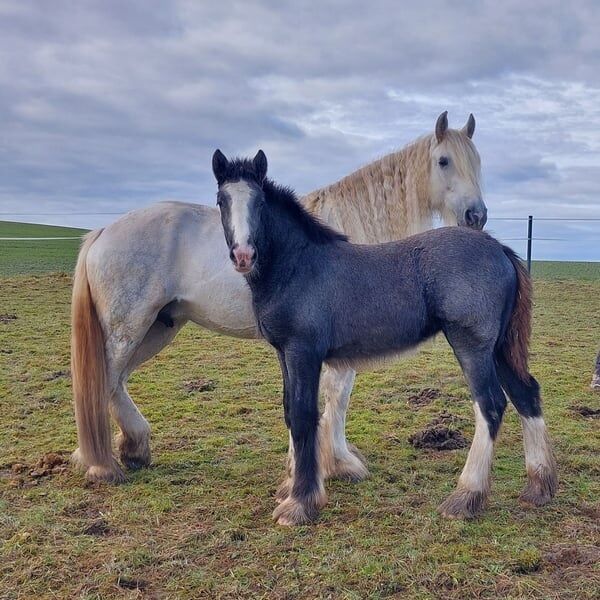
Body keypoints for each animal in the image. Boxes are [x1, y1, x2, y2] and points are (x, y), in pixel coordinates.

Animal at [72, 113, 486, 488]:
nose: (476, 216)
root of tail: (103, 231)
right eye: (444, 161)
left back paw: (128, 449)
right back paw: (103, 464)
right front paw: (336, 463)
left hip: (157, 328)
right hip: (128, 328)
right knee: (103, 380)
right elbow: (337, 395)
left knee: (114, 382)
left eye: (477, 161)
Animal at [211, 149, 556, 524]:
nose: (243, 255)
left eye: (259, 202)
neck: (298, 266)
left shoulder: (303, 351)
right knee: (526, 394)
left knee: (491, 404)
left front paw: (300, 502)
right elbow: (290, 411)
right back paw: (539, 487)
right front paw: (292, 489)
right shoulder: (283, 353)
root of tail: (499, 248)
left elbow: (303, 416)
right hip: (499, 347)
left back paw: (466, 497)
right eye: (221, 200)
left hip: (472, 345)